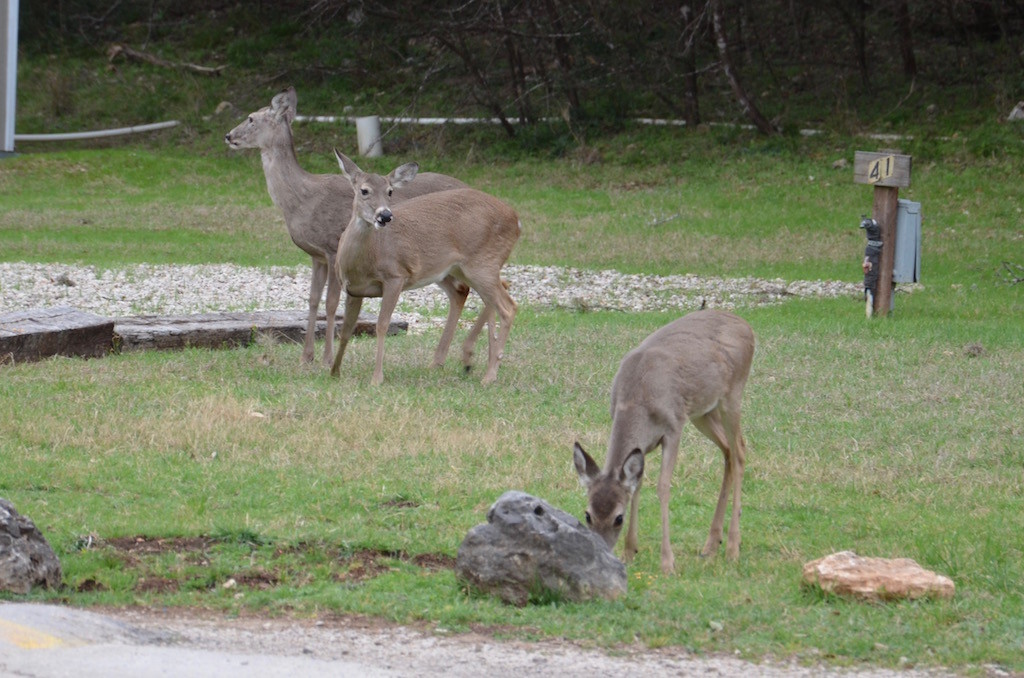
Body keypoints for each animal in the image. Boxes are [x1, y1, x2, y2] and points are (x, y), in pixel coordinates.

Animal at [224, 89, 468, 372]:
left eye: (251, 118)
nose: (228, 135)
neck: (301, 200)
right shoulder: (316, 255)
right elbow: (312, 300)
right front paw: (306, 356)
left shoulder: (332, 247)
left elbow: (331, 304)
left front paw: (327, 358)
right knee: (461, 291)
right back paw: (442, 360)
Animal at [329, 152, 520, 387]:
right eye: (364, 190)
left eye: (390, 191)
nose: (385, 216)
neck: (365, 259)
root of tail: (516, 220)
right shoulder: (353, 289)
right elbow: (346, 329)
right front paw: (334, 371)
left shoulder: (396, 275)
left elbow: (382, 325)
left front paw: (376, 378)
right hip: (461, 268)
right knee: (481, 292)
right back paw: (462, 361)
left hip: (482, 263)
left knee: (507, 306)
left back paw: (489, 374)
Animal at [573, 311, 757, 577]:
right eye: (588, 514)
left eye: (618, 518)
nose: (602, 551)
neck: (637, 399)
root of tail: (746, 326)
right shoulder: (645, 444)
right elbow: (637, 485)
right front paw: (629, 551)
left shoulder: (673, 427)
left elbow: (662, 486)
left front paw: (668, 563)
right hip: (704, 412)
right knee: (729, 451)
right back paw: (711, 545)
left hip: (732, 396)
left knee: (741, 450)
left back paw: (733, 547)